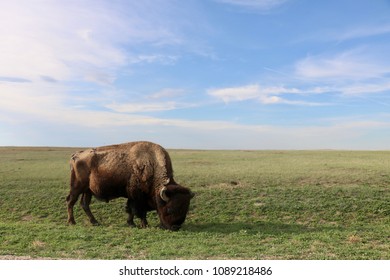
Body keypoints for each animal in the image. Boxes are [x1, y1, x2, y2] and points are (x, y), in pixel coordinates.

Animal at [67, 141, 197, 231]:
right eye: (169, 209)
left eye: (186, 209)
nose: (176, 227)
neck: (152, 165)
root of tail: (75, 155)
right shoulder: (137, 196)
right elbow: (136, 210)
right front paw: (141, 224)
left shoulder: (135, 197)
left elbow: (131, 210)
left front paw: (133, 223)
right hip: (77, 187)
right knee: (70, 201)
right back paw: (72, 222)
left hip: (88, 190)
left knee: (85, 204)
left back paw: (95, 222)